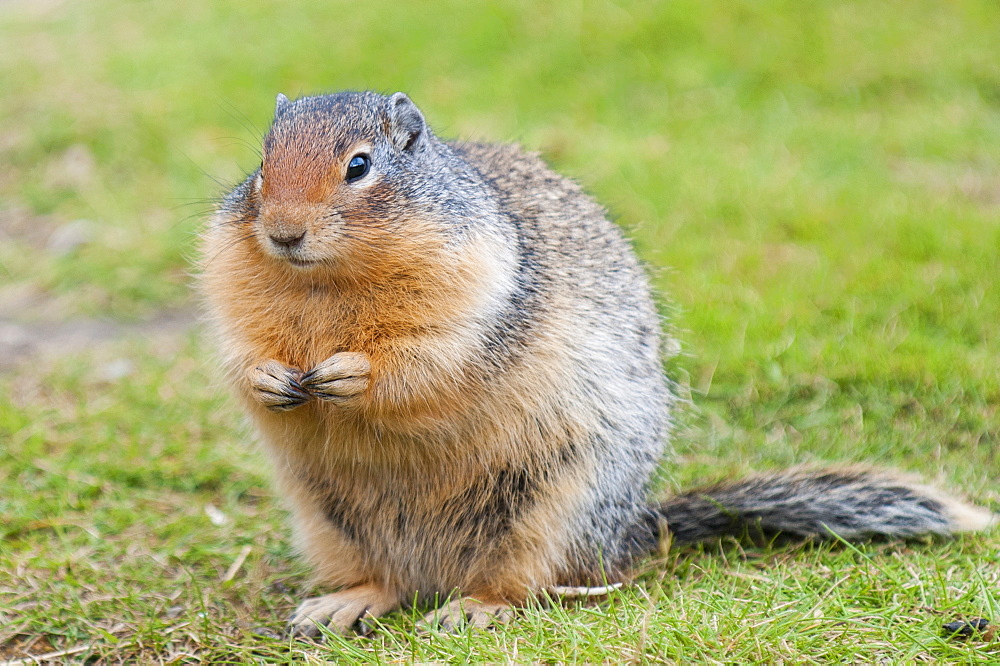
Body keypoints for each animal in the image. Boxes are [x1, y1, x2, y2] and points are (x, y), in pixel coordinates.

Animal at [199, 89, 996, 632]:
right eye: (261, 165)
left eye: (359, 166)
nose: (281, 231)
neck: (325, 283)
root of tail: (636, 528)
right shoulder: (229, 283)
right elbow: (238, 349)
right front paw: (270, 377)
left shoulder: (477, 295)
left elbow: (427, 358)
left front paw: (349, 373)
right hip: (326, 520)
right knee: (388, 581)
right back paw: (341, 605)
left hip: (553, 508)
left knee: (525, 584)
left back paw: (473, 609)